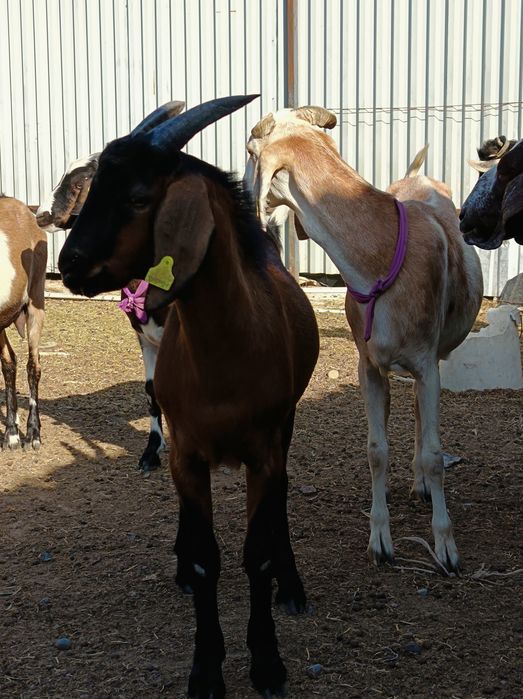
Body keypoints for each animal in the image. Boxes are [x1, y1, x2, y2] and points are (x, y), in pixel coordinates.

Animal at [57, 95, 319, 699]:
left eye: (136, 197)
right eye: (93, 187)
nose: (69, 264)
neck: (227, 351)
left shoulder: (264, 453)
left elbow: (257, 555)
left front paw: (267, 662)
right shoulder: (188, 454)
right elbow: (205, 561)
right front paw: (205, 669)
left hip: (286, 427)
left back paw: (293, 583)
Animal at [246, 106, 483, 574]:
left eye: (249, 152)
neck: (379, 258)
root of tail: (419, 176)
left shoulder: (426, 362)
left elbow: (435, 454)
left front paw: (446, 548)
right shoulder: (368, 365)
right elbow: (375, 450)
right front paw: (380, 542)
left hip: (436, 358)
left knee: (421, 419)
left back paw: (423, 485)